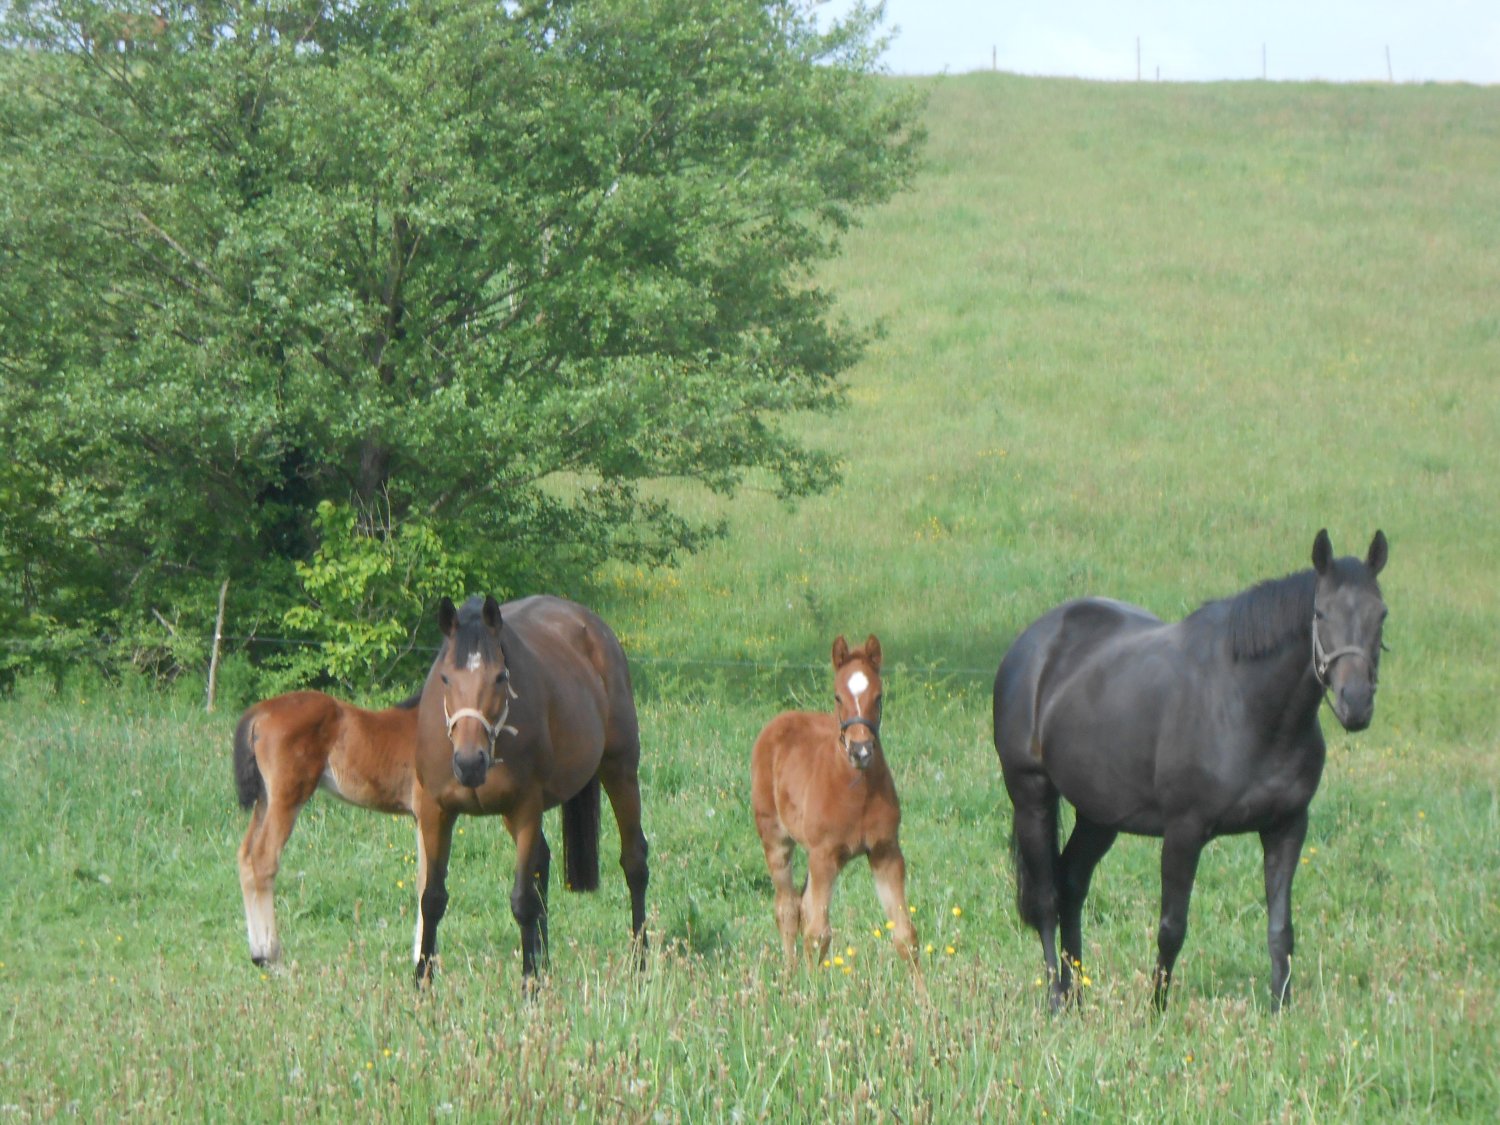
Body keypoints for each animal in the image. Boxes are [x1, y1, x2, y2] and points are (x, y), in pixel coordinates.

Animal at [233, 690, 419, 966]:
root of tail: (261, 711)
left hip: (265, 799)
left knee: (245, 856)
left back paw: (258, 953)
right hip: (287, 797)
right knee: (263, 858)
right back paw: (271, 953)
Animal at [411, 594, 648, 984]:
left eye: (500, 676)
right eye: (445, 677)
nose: (469, 763)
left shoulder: (524, 808)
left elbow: (522, 901)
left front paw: (529, 986)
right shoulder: (436, 811)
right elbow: (431, 899)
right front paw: (422, 986)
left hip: (621, 769)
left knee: (634, 862)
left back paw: (640, 963)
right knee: (543, 865)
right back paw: (546, 963)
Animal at [750, 634, 918, 967]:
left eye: (879, 696)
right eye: (838, 697)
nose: (861, 750)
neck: (856, 790)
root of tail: (780, 720)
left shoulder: (886, 852)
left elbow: (905, 935)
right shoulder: (825, 855)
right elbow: (818, 936)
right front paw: (813, 985)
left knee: (803, 906)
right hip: (777, 839)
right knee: (788, 908)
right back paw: (789, 976)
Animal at [993, 529, 1388, 1011]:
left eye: (1381, 613)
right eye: (1320, 612)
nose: (1356, 702)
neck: (1246, 705)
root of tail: (1030, 645)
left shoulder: (1287, 827)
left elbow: (1281, 930)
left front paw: (1280, 1009)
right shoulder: (1184, 831)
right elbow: (1172, 928)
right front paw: (1156, 1011)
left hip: (1099, 817)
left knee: (1071, 886)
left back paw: (1077, 996)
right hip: (1031, 796)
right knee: (1048, 899)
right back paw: (1055, 1000)